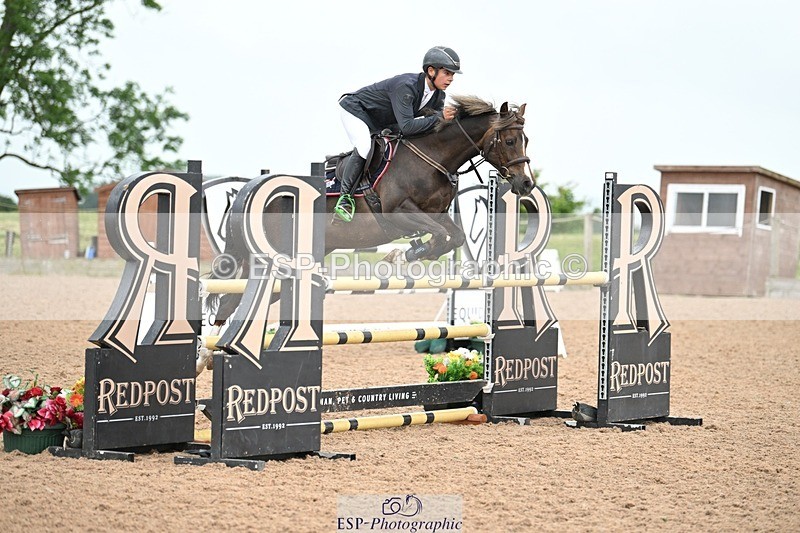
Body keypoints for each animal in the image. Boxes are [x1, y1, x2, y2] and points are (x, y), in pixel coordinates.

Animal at [196, 95, 535, 375]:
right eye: (508, 140)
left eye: (526, 140)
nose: (526, 184)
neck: (431, 157)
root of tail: (250, 189)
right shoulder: (399, 214)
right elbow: (439, 236)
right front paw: (400, 255)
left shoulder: (437, 215)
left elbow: (452, 238)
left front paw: (406, 254)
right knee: (229, 300)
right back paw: (205, 355)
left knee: (235, 301)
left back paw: (210, 356)